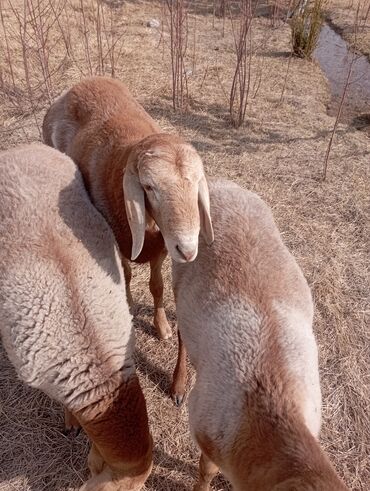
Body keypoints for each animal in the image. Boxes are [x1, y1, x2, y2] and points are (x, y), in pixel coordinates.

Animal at [41, 77, 212, 342]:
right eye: (149, 187)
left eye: (196, 182)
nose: (187, 250)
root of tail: (80, 84)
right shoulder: (118, 242)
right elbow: (127, 274)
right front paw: (130, 308)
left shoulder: (162, 246)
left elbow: (157, 285)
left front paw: (162, 327)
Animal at [169, 179, 348, 490]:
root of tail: (221, 183)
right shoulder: (207, 427)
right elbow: (206, 470)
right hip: (180, 276)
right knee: (182, 334)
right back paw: (178, 386)